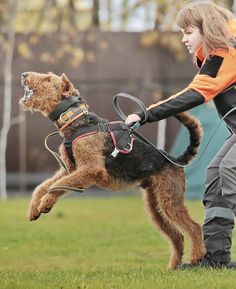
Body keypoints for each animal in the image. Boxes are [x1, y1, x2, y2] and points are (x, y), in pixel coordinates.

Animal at [19, 71, 204, 268]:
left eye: (47, 79)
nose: (24, 74)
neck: (76, 121)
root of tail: (175, 160)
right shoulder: (70, 169)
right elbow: (45, 186)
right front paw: (34, 209)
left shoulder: (91, 168)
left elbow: (57, 185)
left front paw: (45, 204)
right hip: (155, 206)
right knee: (177, 237)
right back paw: (173, 267)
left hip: (170, 200)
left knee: (194, 227)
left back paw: (196, 257)